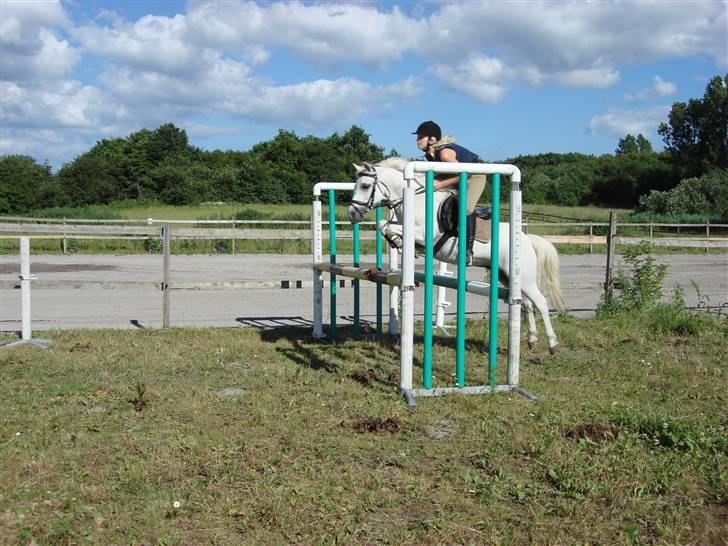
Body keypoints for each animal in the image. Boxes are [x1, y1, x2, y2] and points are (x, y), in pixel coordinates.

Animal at [348, 156, 568, 352]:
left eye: (365, 186)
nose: (351, 213)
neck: (416, 201)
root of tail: (526, 238)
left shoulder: (422, 234)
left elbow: (388, 227)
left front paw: (399, 241)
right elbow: (382, 224)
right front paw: (397, 242)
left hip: (525, 278)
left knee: (541, 303)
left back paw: (552, 344)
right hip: (508, 277)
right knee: (527, 304)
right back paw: (532, 339)